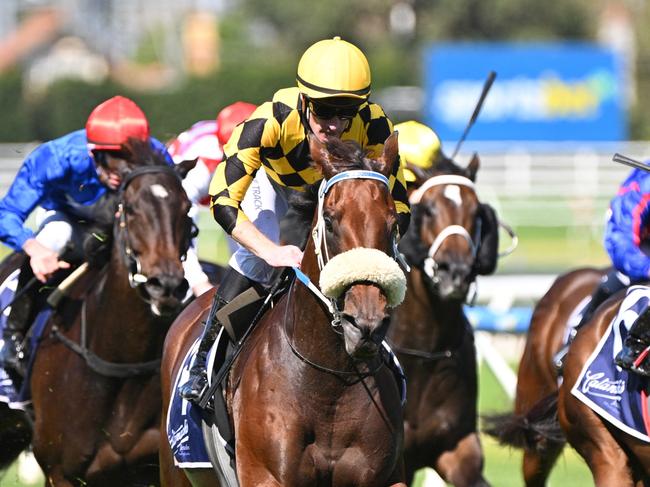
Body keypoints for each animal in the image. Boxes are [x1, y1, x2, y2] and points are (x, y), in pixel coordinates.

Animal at [160, 133, 408, 487]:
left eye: (393, 223)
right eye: (329, 220)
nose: (365, 322)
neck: (329, 384)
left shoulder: (386, 477)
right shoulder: (265, 475)